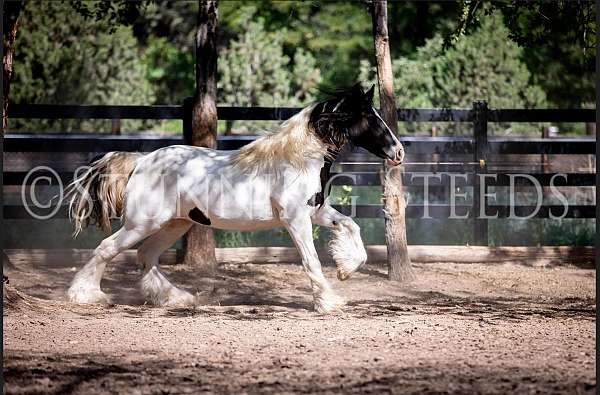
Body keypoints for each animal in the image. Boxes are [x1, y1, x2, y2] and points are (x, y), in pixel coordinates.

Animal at [64, 85, 404, 314]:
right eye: (369, 117)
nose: (399, 152)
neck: (299, 158)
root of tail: (142, 161)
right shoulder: (295, 219)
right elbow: (311, 260)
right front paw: (328, 302)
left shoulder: (315, 212)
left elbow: (350, 226)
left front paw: (346, 269)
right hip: (142, 222)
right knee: (107, 248)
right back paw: (85, 295)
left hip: (175, 223)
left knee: (146, 255)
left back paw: (178, 298)